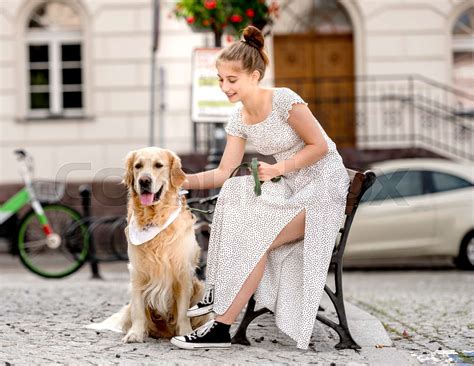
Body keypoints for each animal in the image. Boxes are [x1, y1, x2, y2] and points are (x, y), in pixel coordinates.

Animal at [120, 147, 207, 344]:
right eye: (138, 166)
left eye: (158, 165)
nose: (144, 180)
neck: (155, 219)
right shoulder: (138, 271)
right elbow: (138, 310)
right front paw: (136, 333)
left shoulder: (182, 271)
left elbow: (183, 311)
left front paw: (184, 332)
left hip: (200, 289)